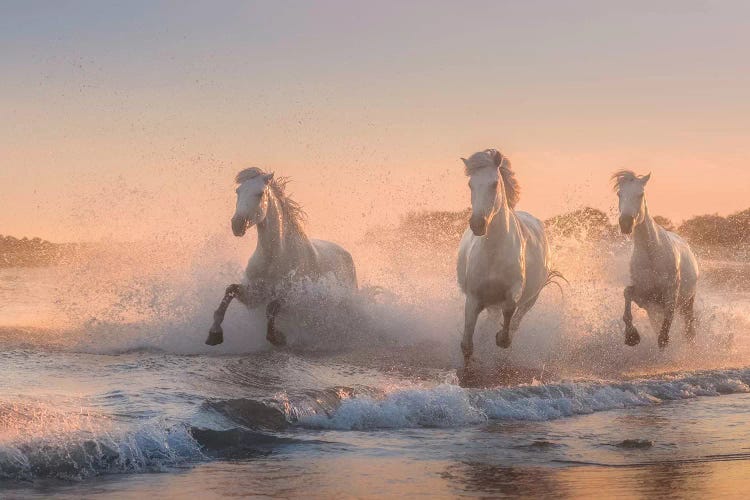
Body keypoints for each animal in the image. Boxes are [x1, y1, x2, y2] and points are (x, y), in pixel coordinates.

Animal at [206, 168, 358, 348]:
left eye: (260, 193)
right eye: (238, 191)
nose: (237, 225)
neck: (274, 258)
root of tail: (346, 254)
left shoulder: (296, 299)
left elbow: (272, 306)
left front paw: (277, 337)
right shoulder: (254, 296)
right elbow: (230, 291)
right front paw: (214, 334)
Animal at [456, 148, 556, 368]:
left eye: (494, 183)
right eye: (470, 184)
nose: (477, 224)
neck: (493, 252)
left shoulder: (514, 290)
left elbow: (510, 309)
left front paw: (502, 339)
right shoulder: (474, 298)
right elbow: (467, 343)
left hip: (532, 298)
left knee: (517, 319)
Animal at [612, 170, 704, 346]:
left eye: (640, 194)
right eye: (619, 194)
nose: (626, 223)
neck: (652, 255)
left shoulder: (669, 296)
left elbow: (665, 330)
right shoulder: (645, 298)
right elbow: (627, 293)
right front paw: (631, 336)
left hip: (687, 303)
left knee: (689, 329)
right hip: (654, 309)